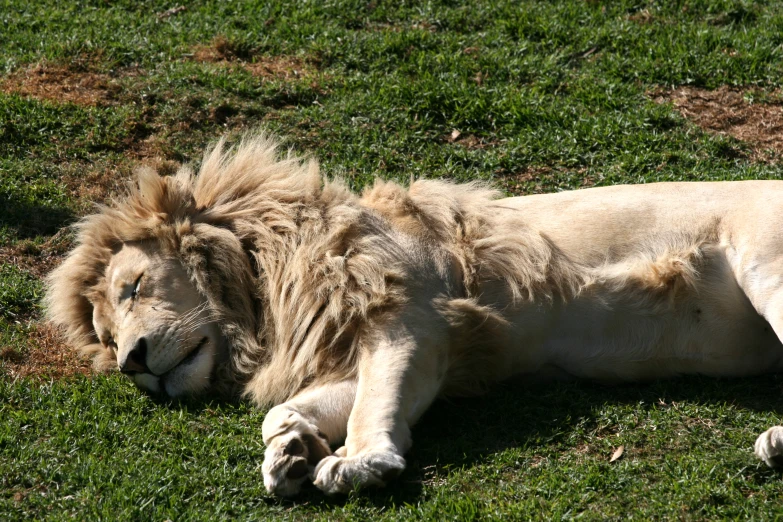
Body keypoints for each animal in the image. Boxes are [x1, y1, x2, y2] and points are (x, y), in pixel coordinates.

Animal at [44, 134, 783, 492]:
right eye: (105, 335)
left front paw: (359, 463)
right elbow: (292, 406)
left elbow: (375, 404)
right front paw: (290, 450)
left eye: (134, 287)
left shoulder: (411, 316)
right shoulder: (422, 354)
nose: (133, 365)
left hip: (766, 268)